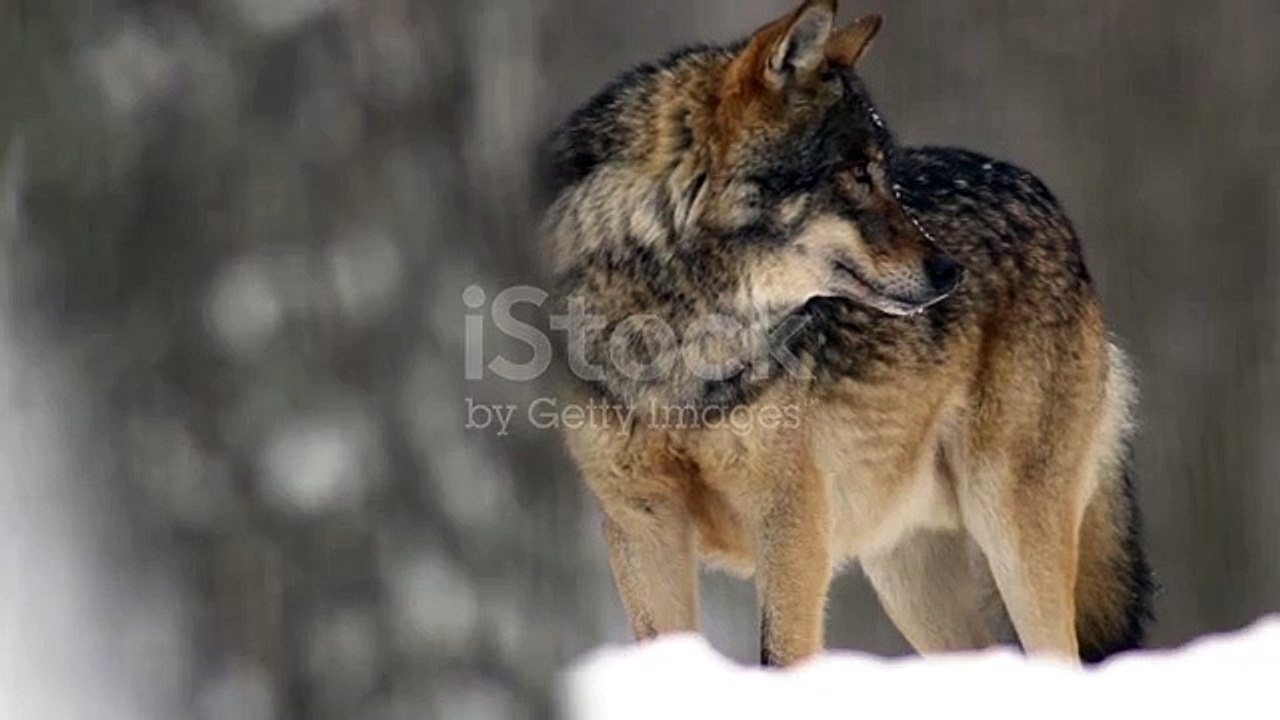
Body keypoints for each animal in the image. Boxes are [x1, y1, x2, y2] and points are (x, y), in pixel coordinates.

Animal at [540, 0, 1152, 666]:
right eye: (857, 171)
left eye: (885, 171)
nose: (951, 272)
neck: (676, 336)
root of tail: (1045, 198)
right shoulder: (640, 525)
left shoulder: (791, 525)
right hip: (909, 577)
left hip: (1010, 528)